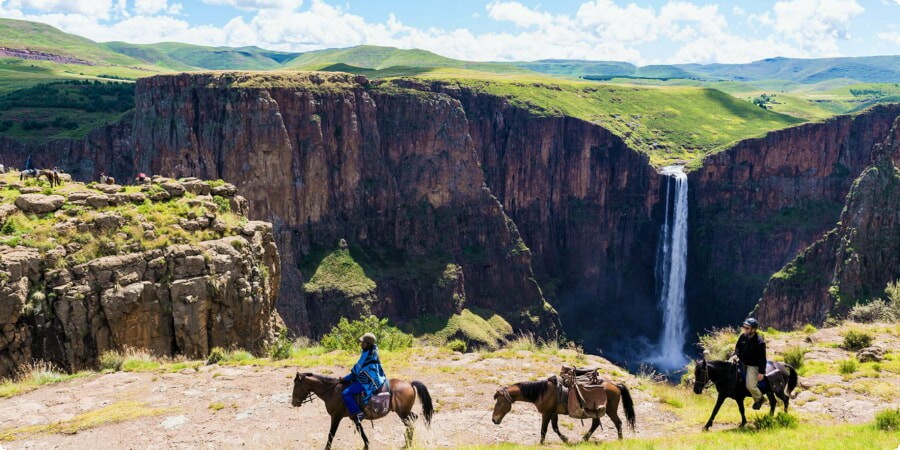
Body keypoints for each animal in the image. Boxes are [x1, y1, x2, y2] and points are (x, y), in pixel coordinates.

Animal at [294, 370, 434, 450]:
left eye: (296, 384)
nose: (293, 402)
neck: (333, 391)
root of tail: (409, 383)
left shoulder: (336, 416)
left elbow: (331, 434)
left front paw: (327, 448)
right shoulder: (355, 417)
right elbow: (361, 431)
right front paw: (366, 445)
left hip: (403, 413)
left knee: (410, 423)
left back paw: (408, 443)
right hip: (404, 412)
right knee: (413, 420)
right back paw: (407, 442)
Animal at [492, 378, 632, 444]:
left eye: (499, 403)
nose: (494, 420)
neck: (542, 392)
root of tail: (615, 385)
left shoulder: (547, 413)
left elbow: (544, 429)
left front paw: (541, 443)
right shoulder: (553, 413)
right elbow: (555, 428)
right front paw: (565, 439)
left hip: (610, 410)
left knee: (618, 423)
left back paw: (620, 440)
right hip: (596, 412)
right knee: (596, 424)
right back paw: (584, 439)